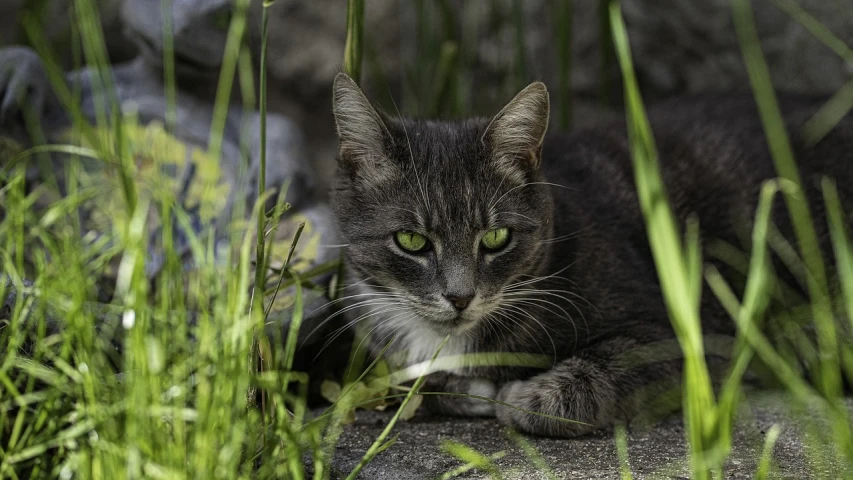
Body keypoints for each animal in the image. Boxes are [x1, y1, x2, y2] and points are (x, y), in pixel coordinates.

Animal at [326, 72, 852, 438]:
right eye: (411, 241)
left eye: (496, 238)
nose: (460, 297)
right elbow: (407, 380)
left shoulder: (688, 338)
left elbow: (587, 377)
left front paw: (521, 396)